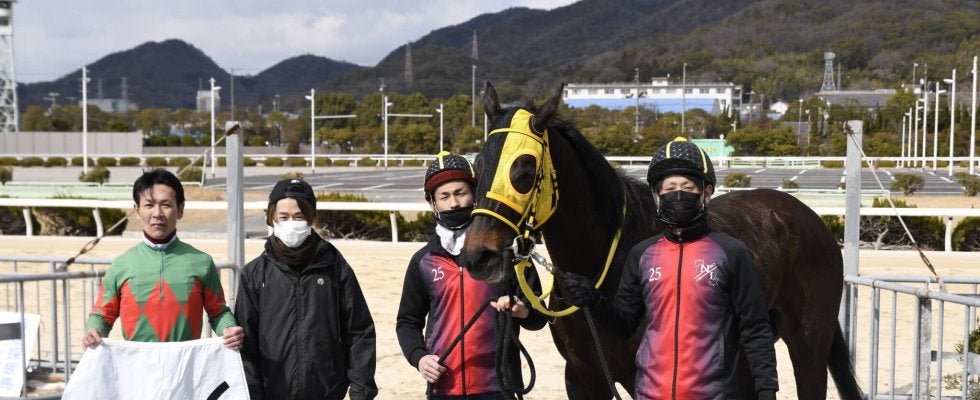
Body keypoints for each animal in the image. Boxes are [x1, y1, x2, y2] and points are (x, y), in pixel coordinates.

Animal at [457, 82, 863, 400]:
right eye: (479, 163)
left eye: (523, 169)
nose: (478, 255)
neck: (605, 262)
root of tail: (806, 217)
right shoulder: (584, 376)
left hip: (808, 344)